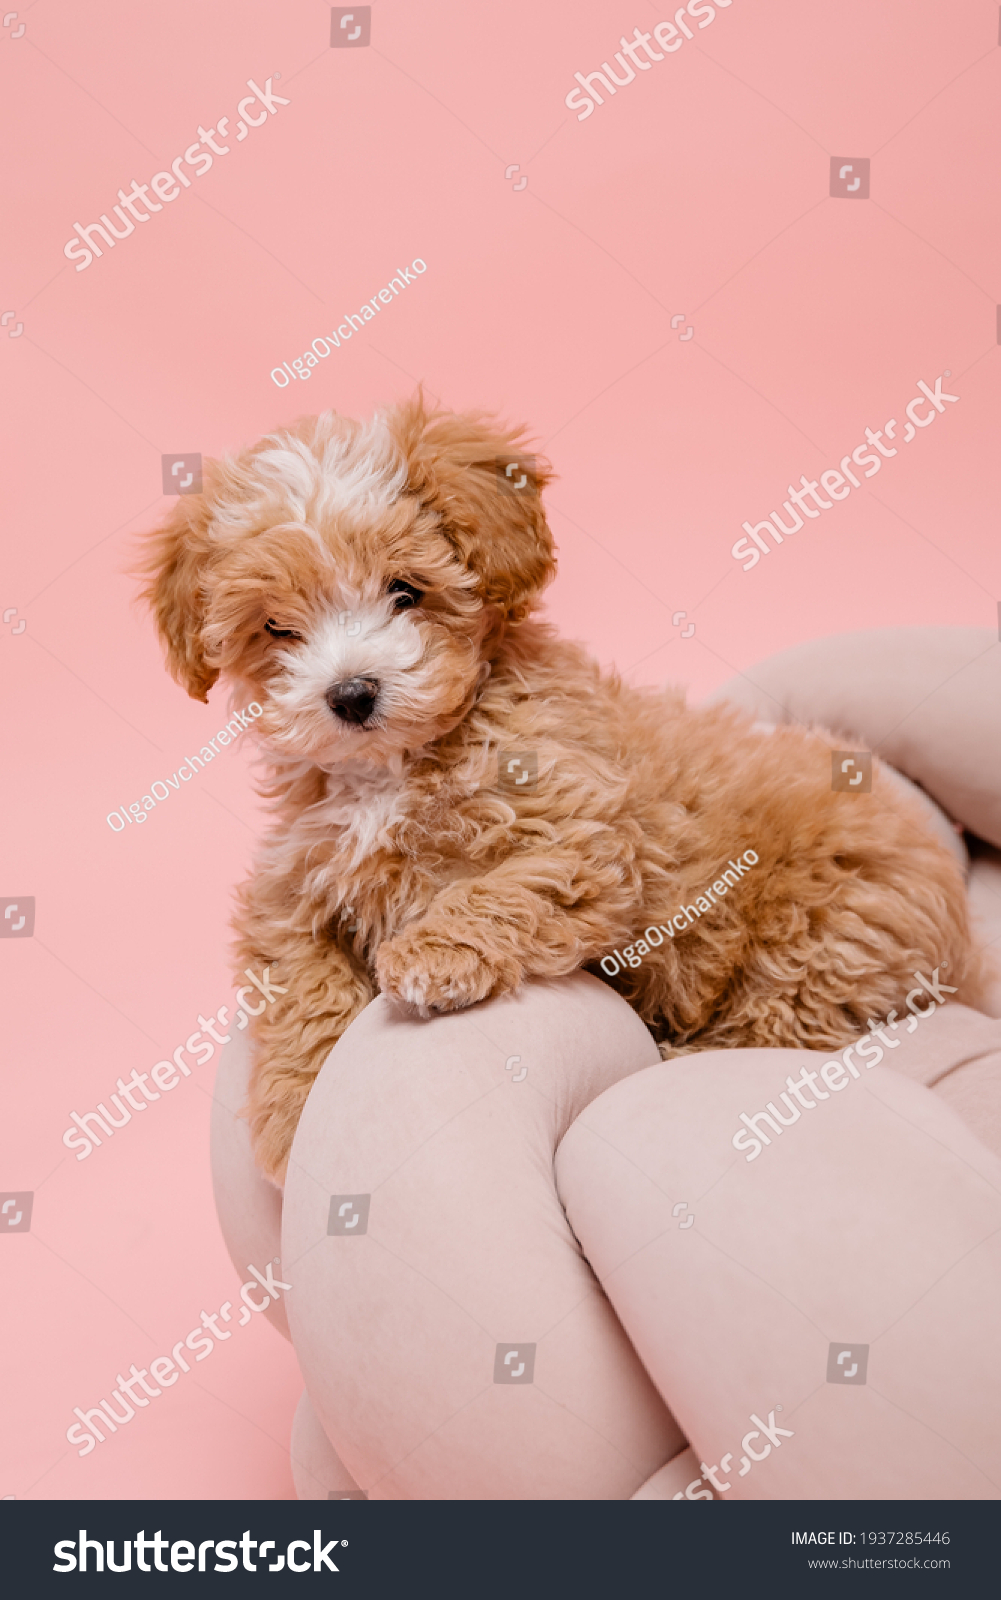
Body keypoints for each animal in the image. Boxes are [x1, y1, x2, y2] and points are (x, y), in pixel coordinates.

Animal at [138, 393, 972, 1184]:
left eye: (405, 592)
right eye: (278, 628)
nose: (350, 694)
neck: (394, 766)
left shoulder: (582, 842)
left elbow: (497, 891)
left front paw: (430, 956)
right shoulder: (293, 883)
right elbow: (296, 978)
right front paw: (297, 1110)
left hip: (822, 929)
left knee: (777, 1022)